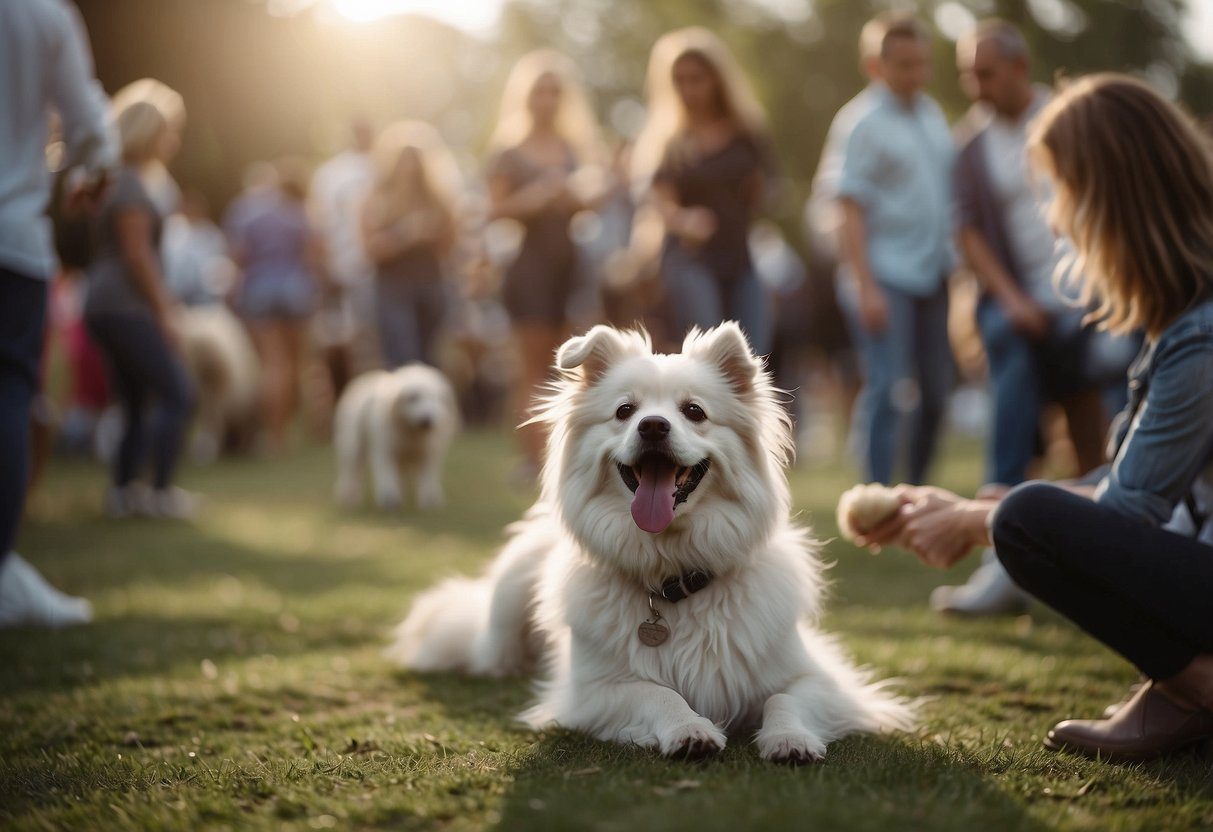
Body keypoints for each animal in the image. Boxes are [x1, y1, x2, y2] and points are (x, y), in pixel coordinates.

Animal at [332, 366, 458, 511]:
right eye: (414, 398)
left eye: (436, 398)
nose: (427, 421)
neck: (411, 432)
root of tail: (366, 377)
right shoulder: (385, 450)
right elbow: (387, 476)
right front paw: (389, 500)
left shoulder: (429, 454)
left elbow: (427, 479)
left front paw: (430, 501)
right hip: (352, 447)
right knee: (351, 473)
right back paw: (349, 498)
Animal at [388, 325, 912, 761]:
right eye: (625, 411)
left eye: (694, 411)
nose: (653, 425)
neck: (671, 573)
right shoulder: (593, 692)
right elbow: (658, 692)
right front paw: (689, 729)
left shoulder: (824, 678)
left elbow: (785, 697)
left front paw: (790, 738)